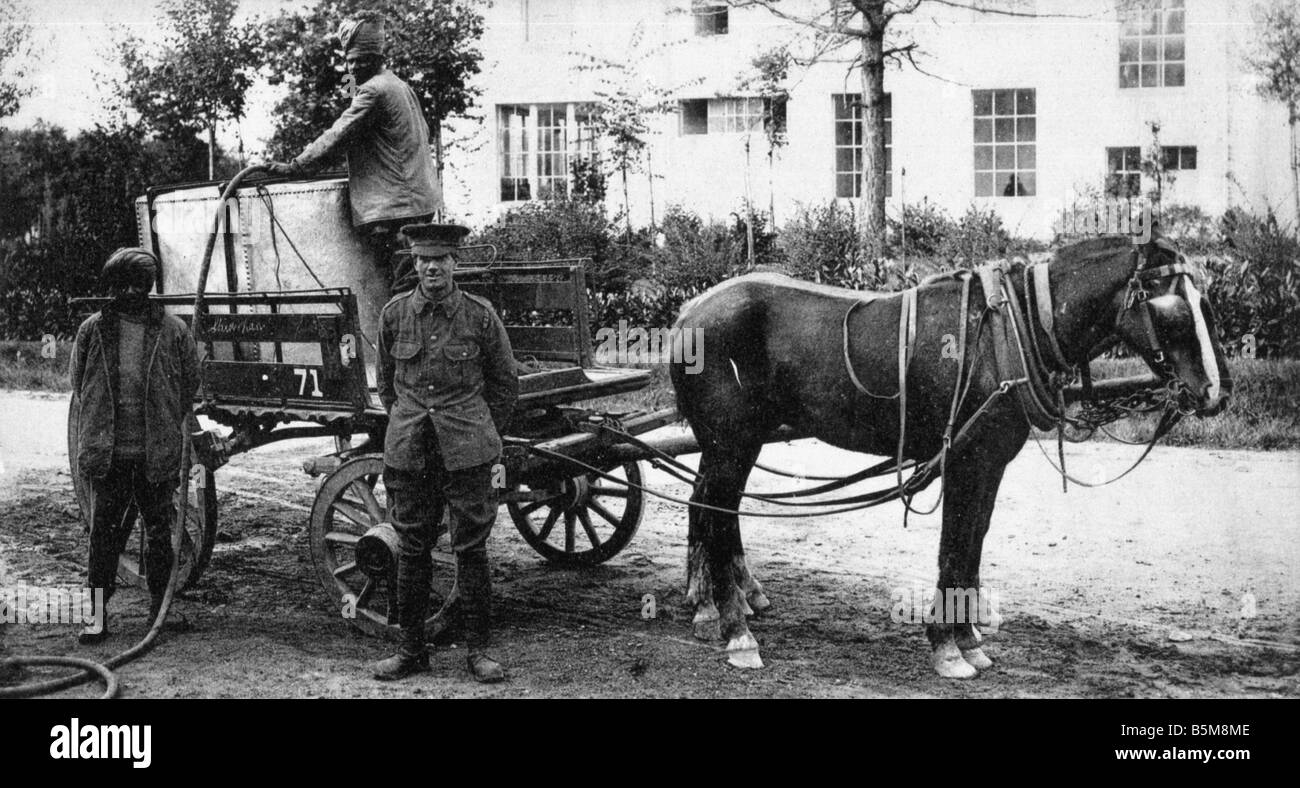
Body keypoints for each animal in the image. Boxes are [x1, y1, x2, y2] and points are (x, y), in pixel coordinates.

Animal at [670, 228, 1227, 681]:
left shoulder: (990, 464)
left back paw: (722, 606)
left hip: (737, 443)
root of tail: (687, 314)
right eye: (1173, 310)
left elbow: (973, 544)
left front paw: (967, 640)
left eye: (1208, 305)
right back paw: (735, 629)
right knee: (713, 513)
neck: (1009, 332)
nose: (1213, 394)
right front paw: (947, 647)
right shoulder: (965, 460)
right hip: (728, 442)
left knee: (713, 509)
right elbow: (954, 547)